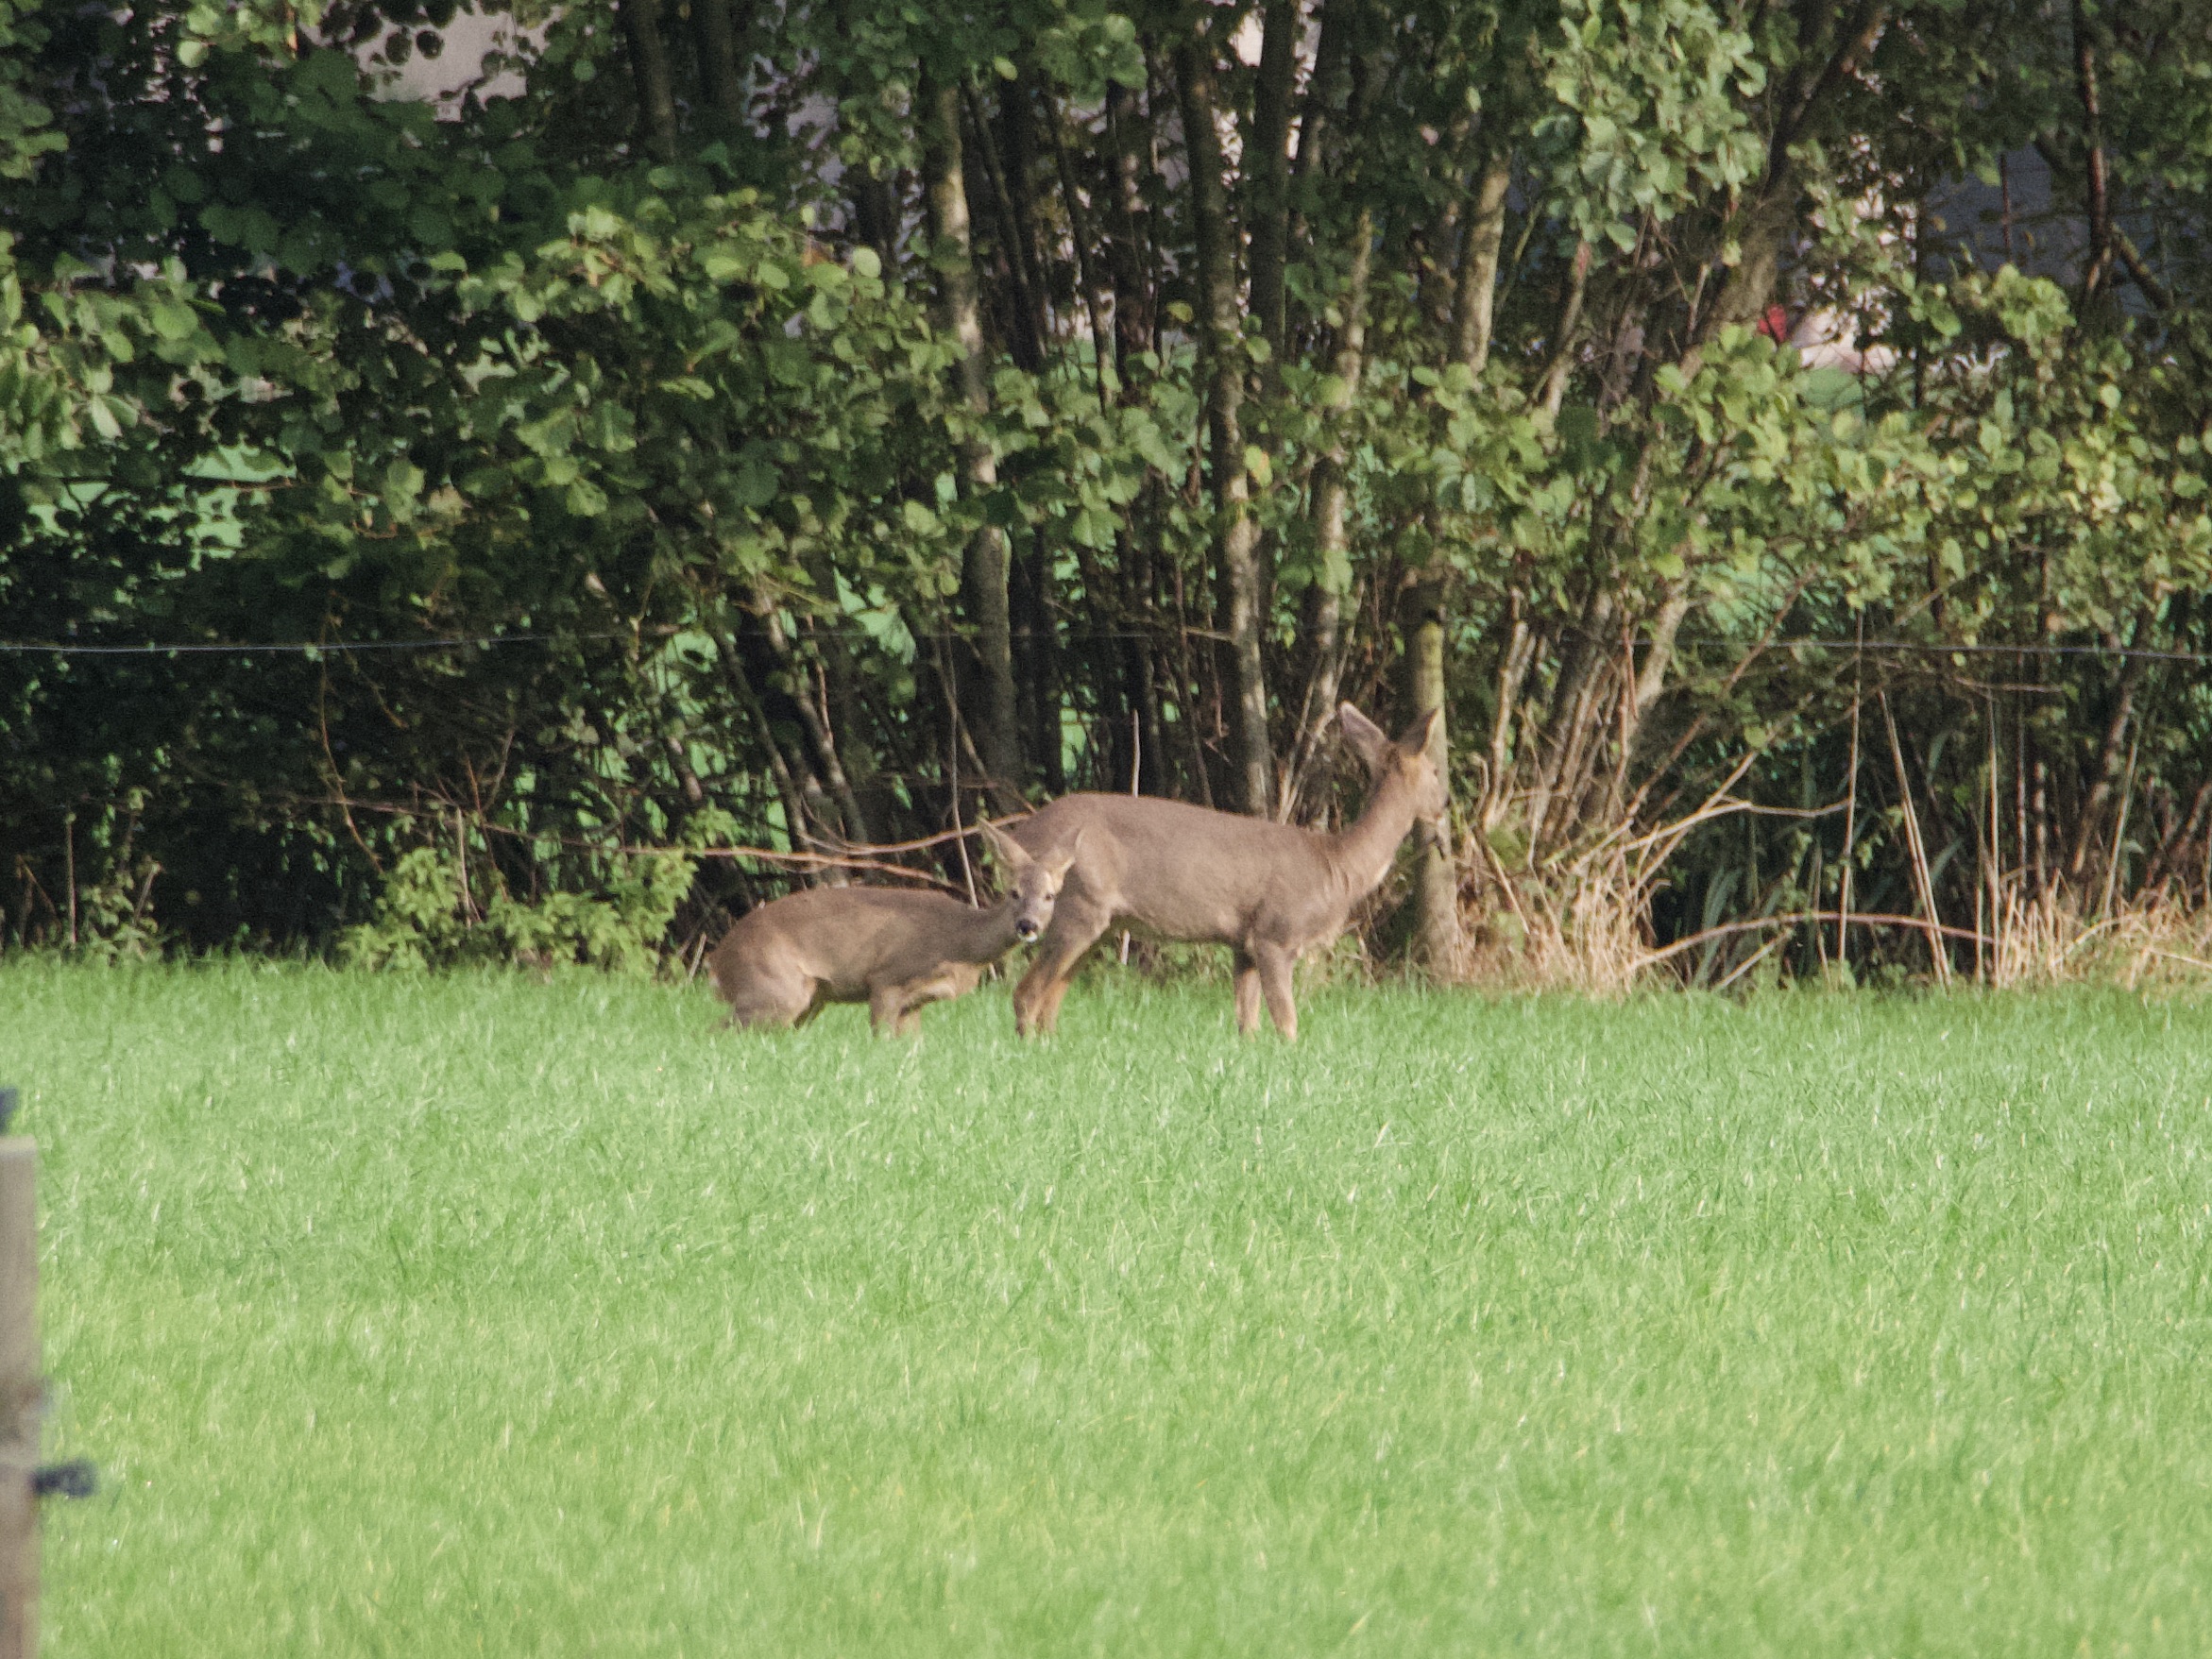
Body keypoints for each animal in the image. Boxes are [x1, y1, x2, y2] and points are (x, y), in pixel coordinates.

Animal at [708, 822, 1079, 1036]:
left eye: (1049, 896)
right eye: (1013, 892)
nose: (1027, 925)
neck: (960, 944)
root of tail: (719, 958)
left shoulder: (915, 1002)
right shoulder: (886, 978)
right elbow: (882, 1038)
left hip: (810, 998)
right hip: (774, 986)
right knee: (718, 1030)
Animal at [1001, 703, 1446, 1041]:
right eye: (1435, 771)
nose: (1445, 801)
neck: (1338, 867)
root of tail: (1027, 831)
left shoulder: (1244, 943)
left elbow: (1247, 1024)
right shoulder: (1275, 933)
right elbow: (1286, 1022)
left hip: (1101, 923)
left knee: (1048, 999)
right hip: (1078, 906)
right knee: (1026, 994)